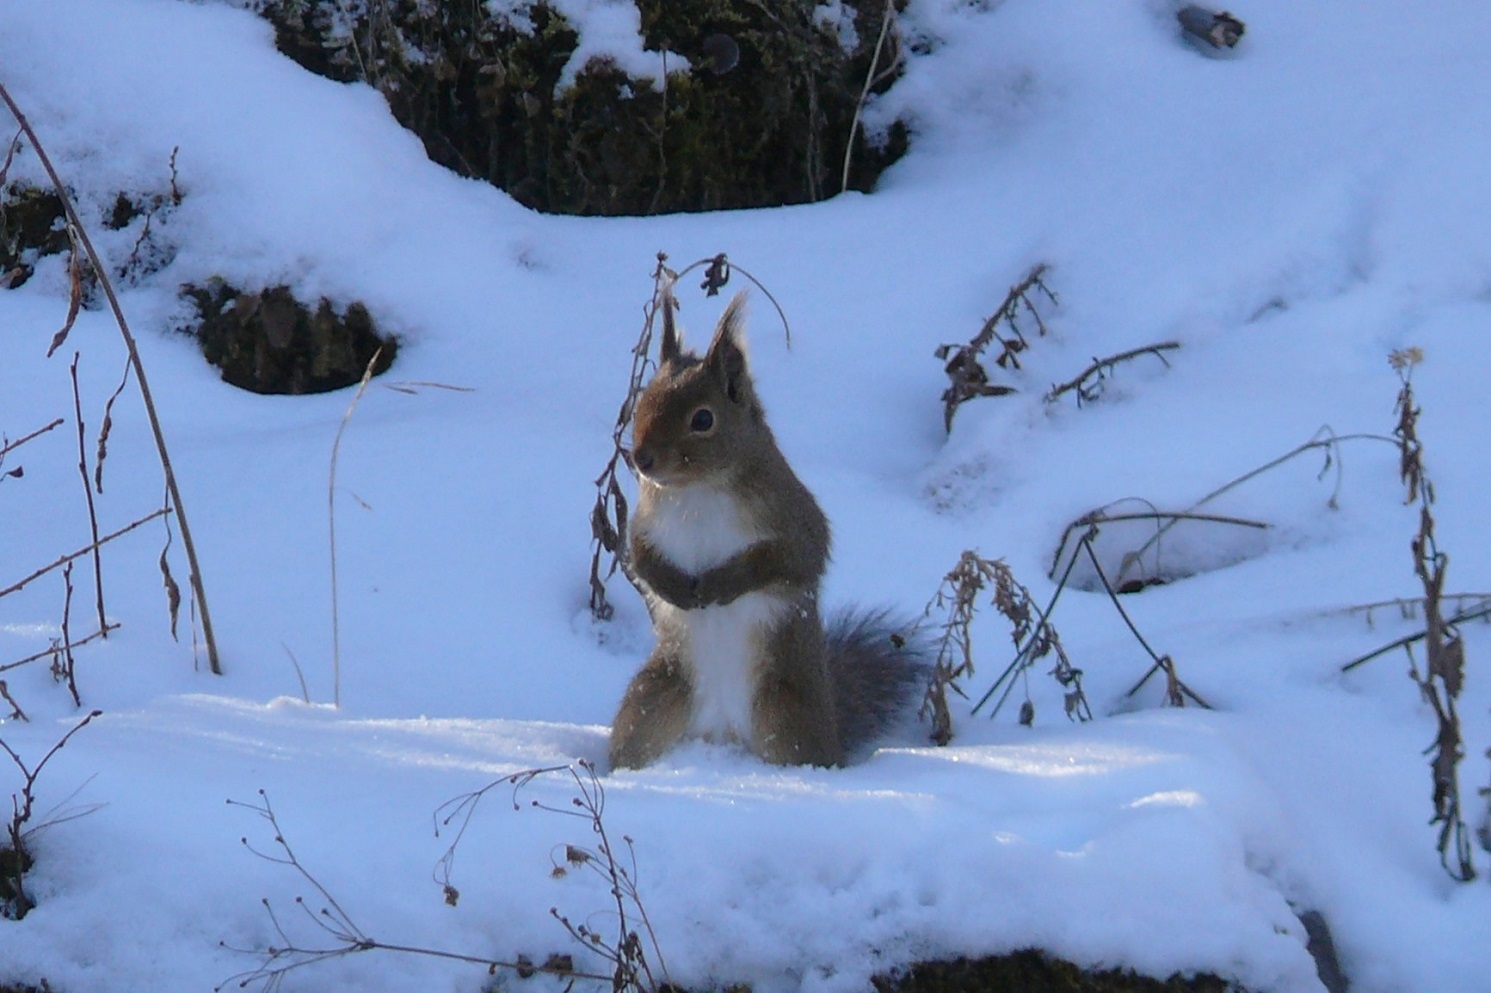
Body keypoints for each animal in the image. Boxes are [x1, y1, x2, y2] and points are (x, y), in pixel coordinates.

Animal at [605, 286, 918, 763]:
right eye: (642, 402)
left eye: (703, 419)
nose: (641, 459)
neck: (698, 491)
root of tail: (723, 733)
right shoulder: (644, 525)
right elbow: (641, 560)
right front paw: (674, 587)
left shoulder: (793, 518)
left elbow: (792, 559)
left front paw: (719, 585)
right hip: (654, 697)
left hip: (785, 714)